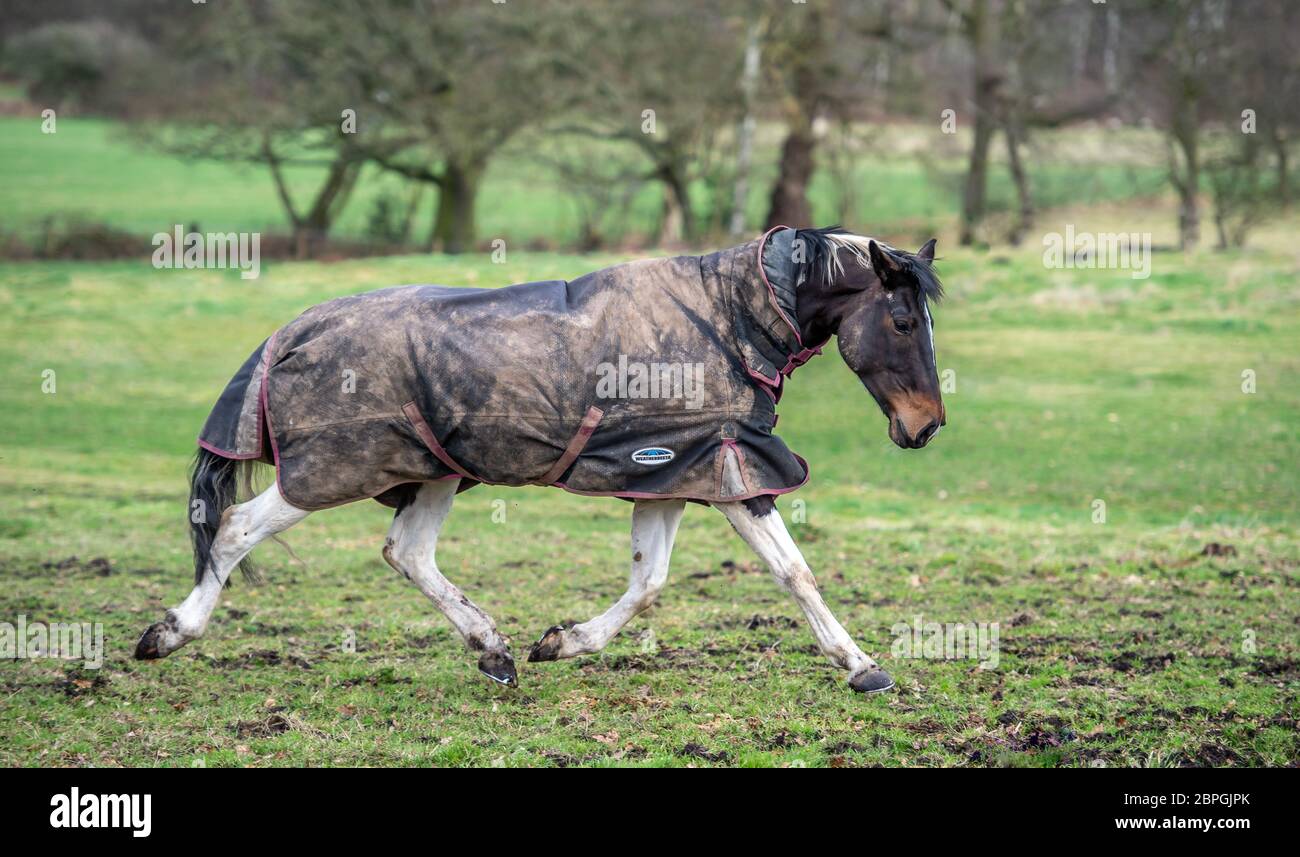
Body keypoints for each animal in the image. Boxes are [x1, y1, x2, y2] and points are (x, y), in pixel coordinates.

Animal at [134, 227, 946, 697]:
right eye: (904, 321)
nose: (927, 427)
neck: (730, 316)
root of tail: (296, 329)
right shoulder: (734, 471)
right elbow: (795, 572)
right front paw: (863, 666)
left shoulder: (672, 472)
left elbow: (649, 582)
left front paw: (562, 641)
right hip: (337, 466)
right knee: (236, 528)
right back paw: (169, 633)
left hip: (434, 469)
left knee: (408, 551)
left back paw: (494, 651)